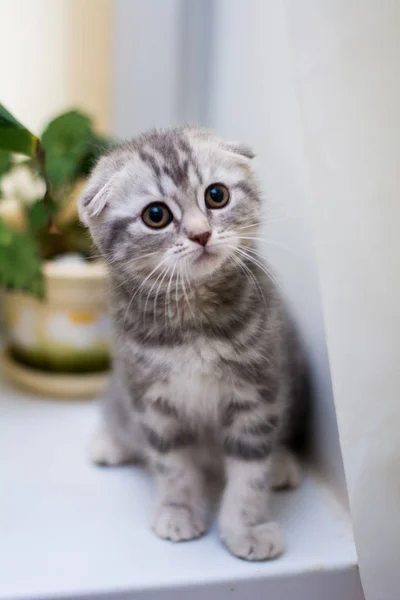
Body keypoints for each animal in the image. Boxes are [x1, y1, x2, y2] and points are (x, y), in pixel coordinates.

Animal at [79, 126, 308, 564]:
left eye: (216, 195)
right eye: (156, 216)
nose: (201, 233)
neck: (193, 321)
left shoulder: (258, 392)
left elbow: (250, 472)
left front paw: (247, 527)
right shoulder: (152, 402)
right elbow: (173, 466)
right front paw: (179, 510)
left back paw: (282, 464)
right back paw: (110, 443)